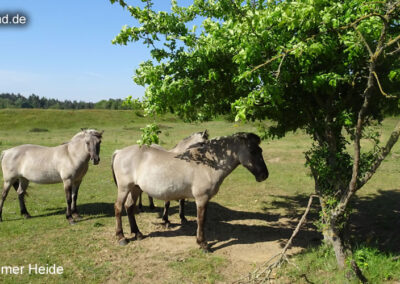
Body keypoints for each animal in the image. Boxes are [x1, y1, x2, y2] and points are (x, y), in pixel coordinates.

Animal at [111, 132, 268, 250]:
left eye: (260, 150)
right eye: (253, 151)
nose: (264, 175)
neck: (208, 162)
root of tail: (119, 152)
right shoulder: (201, 198)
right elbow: (201, 220)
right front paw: (203, 244)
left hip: (135, 188)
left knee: (129, 207)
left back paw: (137, 233)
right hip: (124, 188)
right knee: (119, 207)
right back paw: (121, 237)